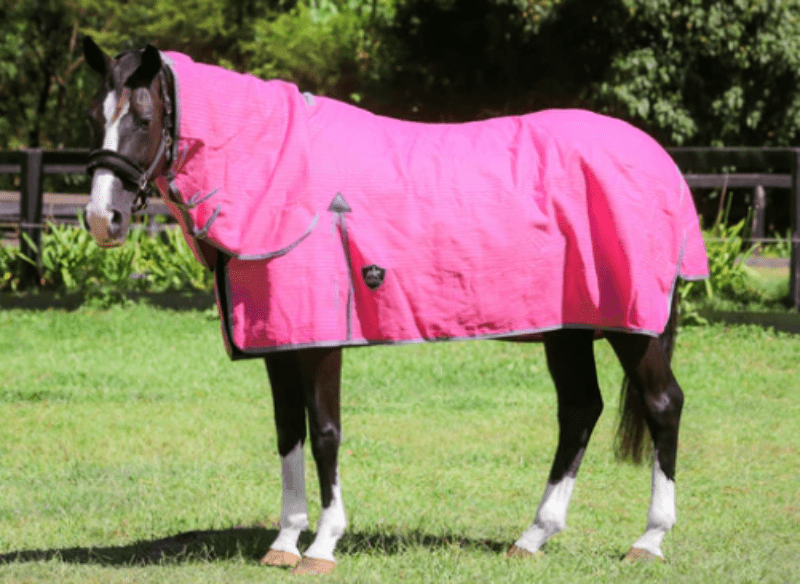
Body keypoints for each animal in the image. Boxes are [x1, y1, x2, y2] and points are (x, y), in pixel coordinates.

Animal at [81, 36, 708, 575]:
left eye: (143, 119)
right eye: (94, 117)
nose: (101, 219)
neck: (277, 171)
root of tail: (661, 163)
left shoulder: (323, 339)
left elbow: (325, 432)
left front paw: (323, 545)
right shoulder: (279, 339)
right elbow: (288, 433)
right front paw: (284, 541)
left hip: (632, 327)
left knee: (662, 405)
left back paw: (648, 540)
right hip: (568, 327)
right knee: (579, 410)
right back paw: (533, 536)